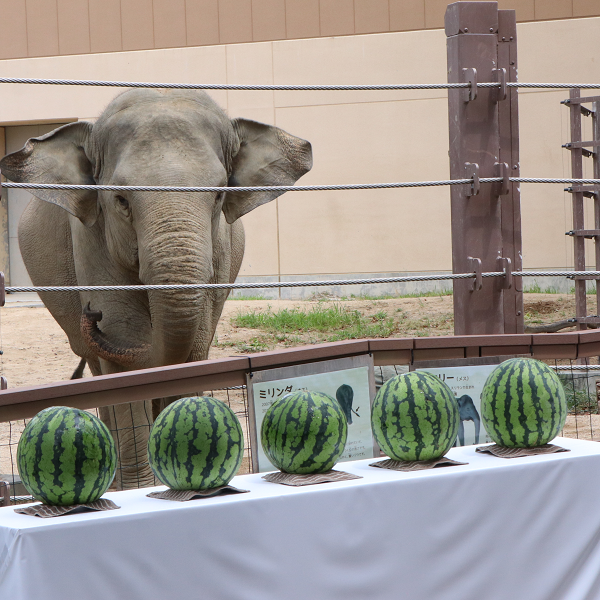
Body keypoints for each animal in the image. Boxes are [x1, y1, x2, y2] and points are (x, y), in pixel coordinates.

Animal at [1, 90, 314, 492]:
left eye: (218, 196)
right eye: (120, 200)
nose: (92, 312)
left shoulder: (219, 255)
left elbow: (191, 352)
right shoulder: (90, 243)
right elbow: (124, 347)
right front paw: (139, 487)